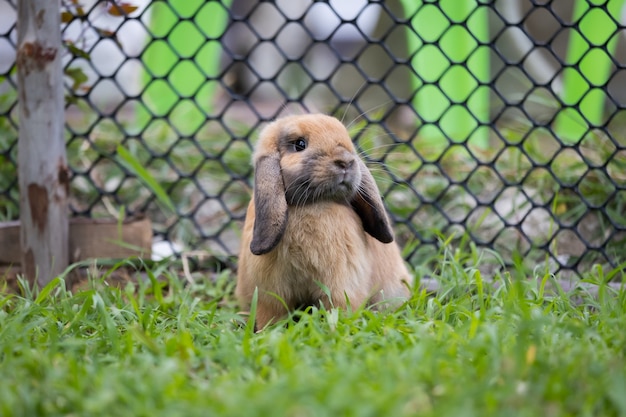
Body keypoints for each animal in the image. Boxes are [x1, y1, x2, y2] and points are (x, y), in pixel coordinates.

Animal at [234, 114, 410, 328]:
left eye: (347, 140)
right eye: (300, 144)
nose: (345, 162)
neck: (313, 204)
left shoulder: (341, 285)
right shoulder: (271, 294)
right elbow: (272, 316)